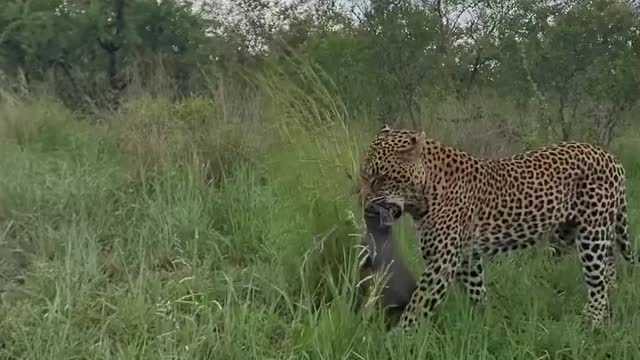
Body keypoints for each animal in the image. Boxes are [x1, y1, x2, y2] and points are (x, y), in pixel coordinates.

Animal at [360, 124, 636, 332]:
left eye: (379, 178)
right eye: (364, 176)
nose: (364, 203)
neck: (426, 191)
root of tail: (611, 158)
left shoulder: (442, 261)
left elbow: (419, 303)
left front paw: (398, 337)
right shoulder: (468, 257)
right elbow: (476, 290)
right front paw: (484, 320)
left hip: (592, 236)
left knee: (598, 283)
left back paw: (591, 323)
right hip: (576, 233)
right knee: (609, 275)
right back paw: (608, 315)